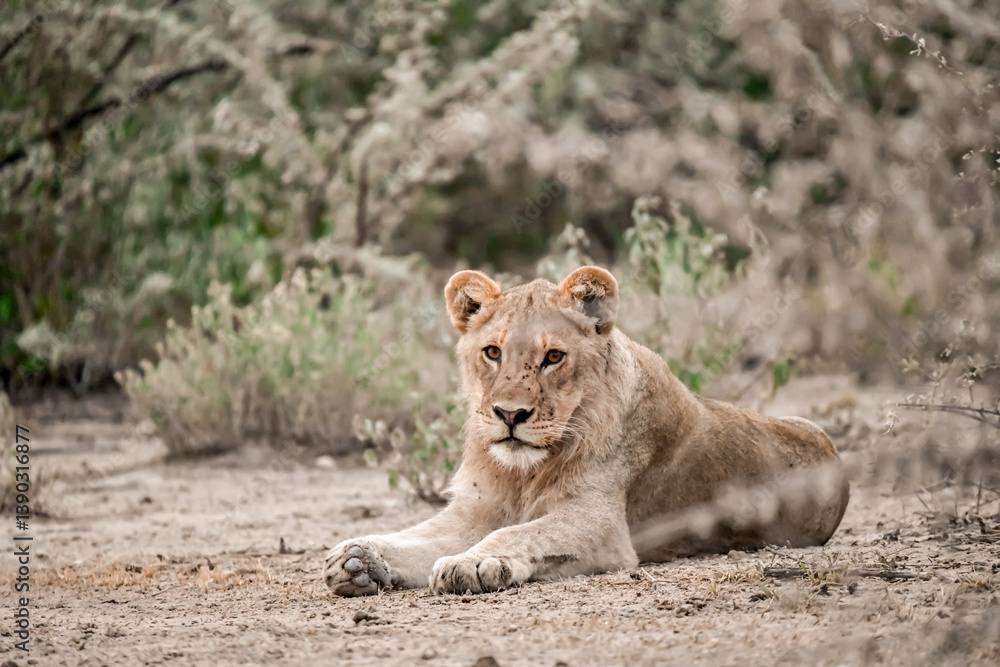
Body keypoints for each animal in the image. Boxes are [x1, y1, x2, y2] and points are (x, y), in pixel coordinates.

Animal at [324, 266, 849, 596]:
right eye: (492, 352)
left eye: (553, 357)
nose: (509, 414)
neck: (522, 472)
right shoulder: (476, 510)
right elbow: (417, 538)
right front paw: (359, 558)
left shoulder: (603, 525)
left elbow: (519, 533)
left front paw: (471, 563)